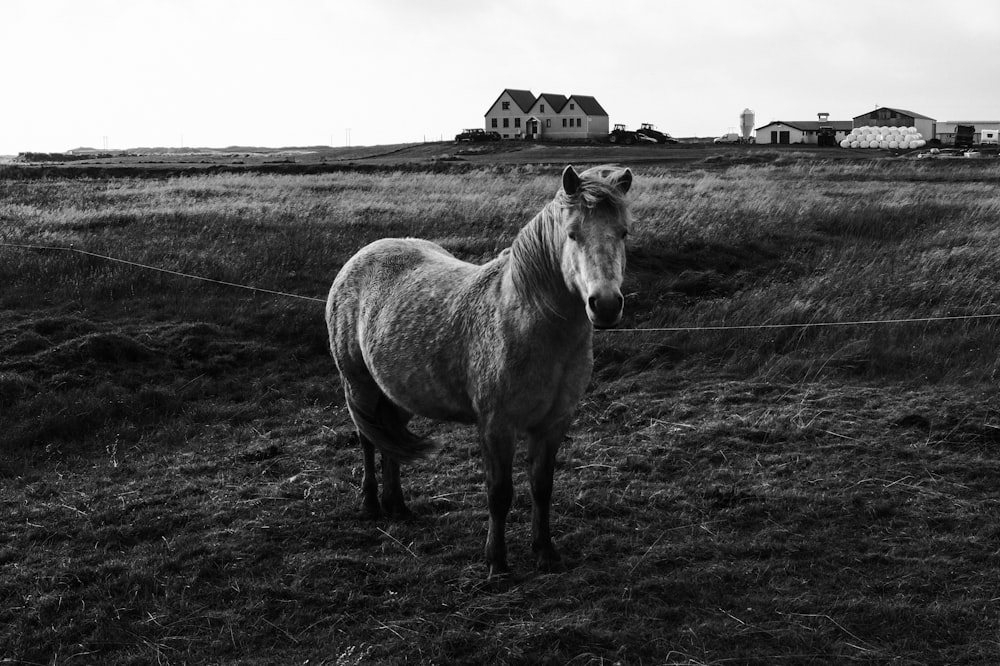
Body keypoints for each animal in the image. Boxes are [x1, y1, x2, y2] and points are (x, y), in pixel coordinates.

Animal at [328, 163, 632, 580]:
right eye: (572, 233)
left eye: (623, 232)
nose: (605, 305)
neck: (527, 320)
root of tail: (361, 257)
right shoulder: (496, 425)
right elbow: (499, 493)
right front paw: (497, 562)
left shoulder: (553, 424)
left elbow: (542, 487)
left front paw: (545, 552)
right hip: (359, 385)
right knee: (368, 439)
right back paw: (372, 505)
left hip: (398, 392)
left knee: (391, 443)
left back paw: (398, 507)